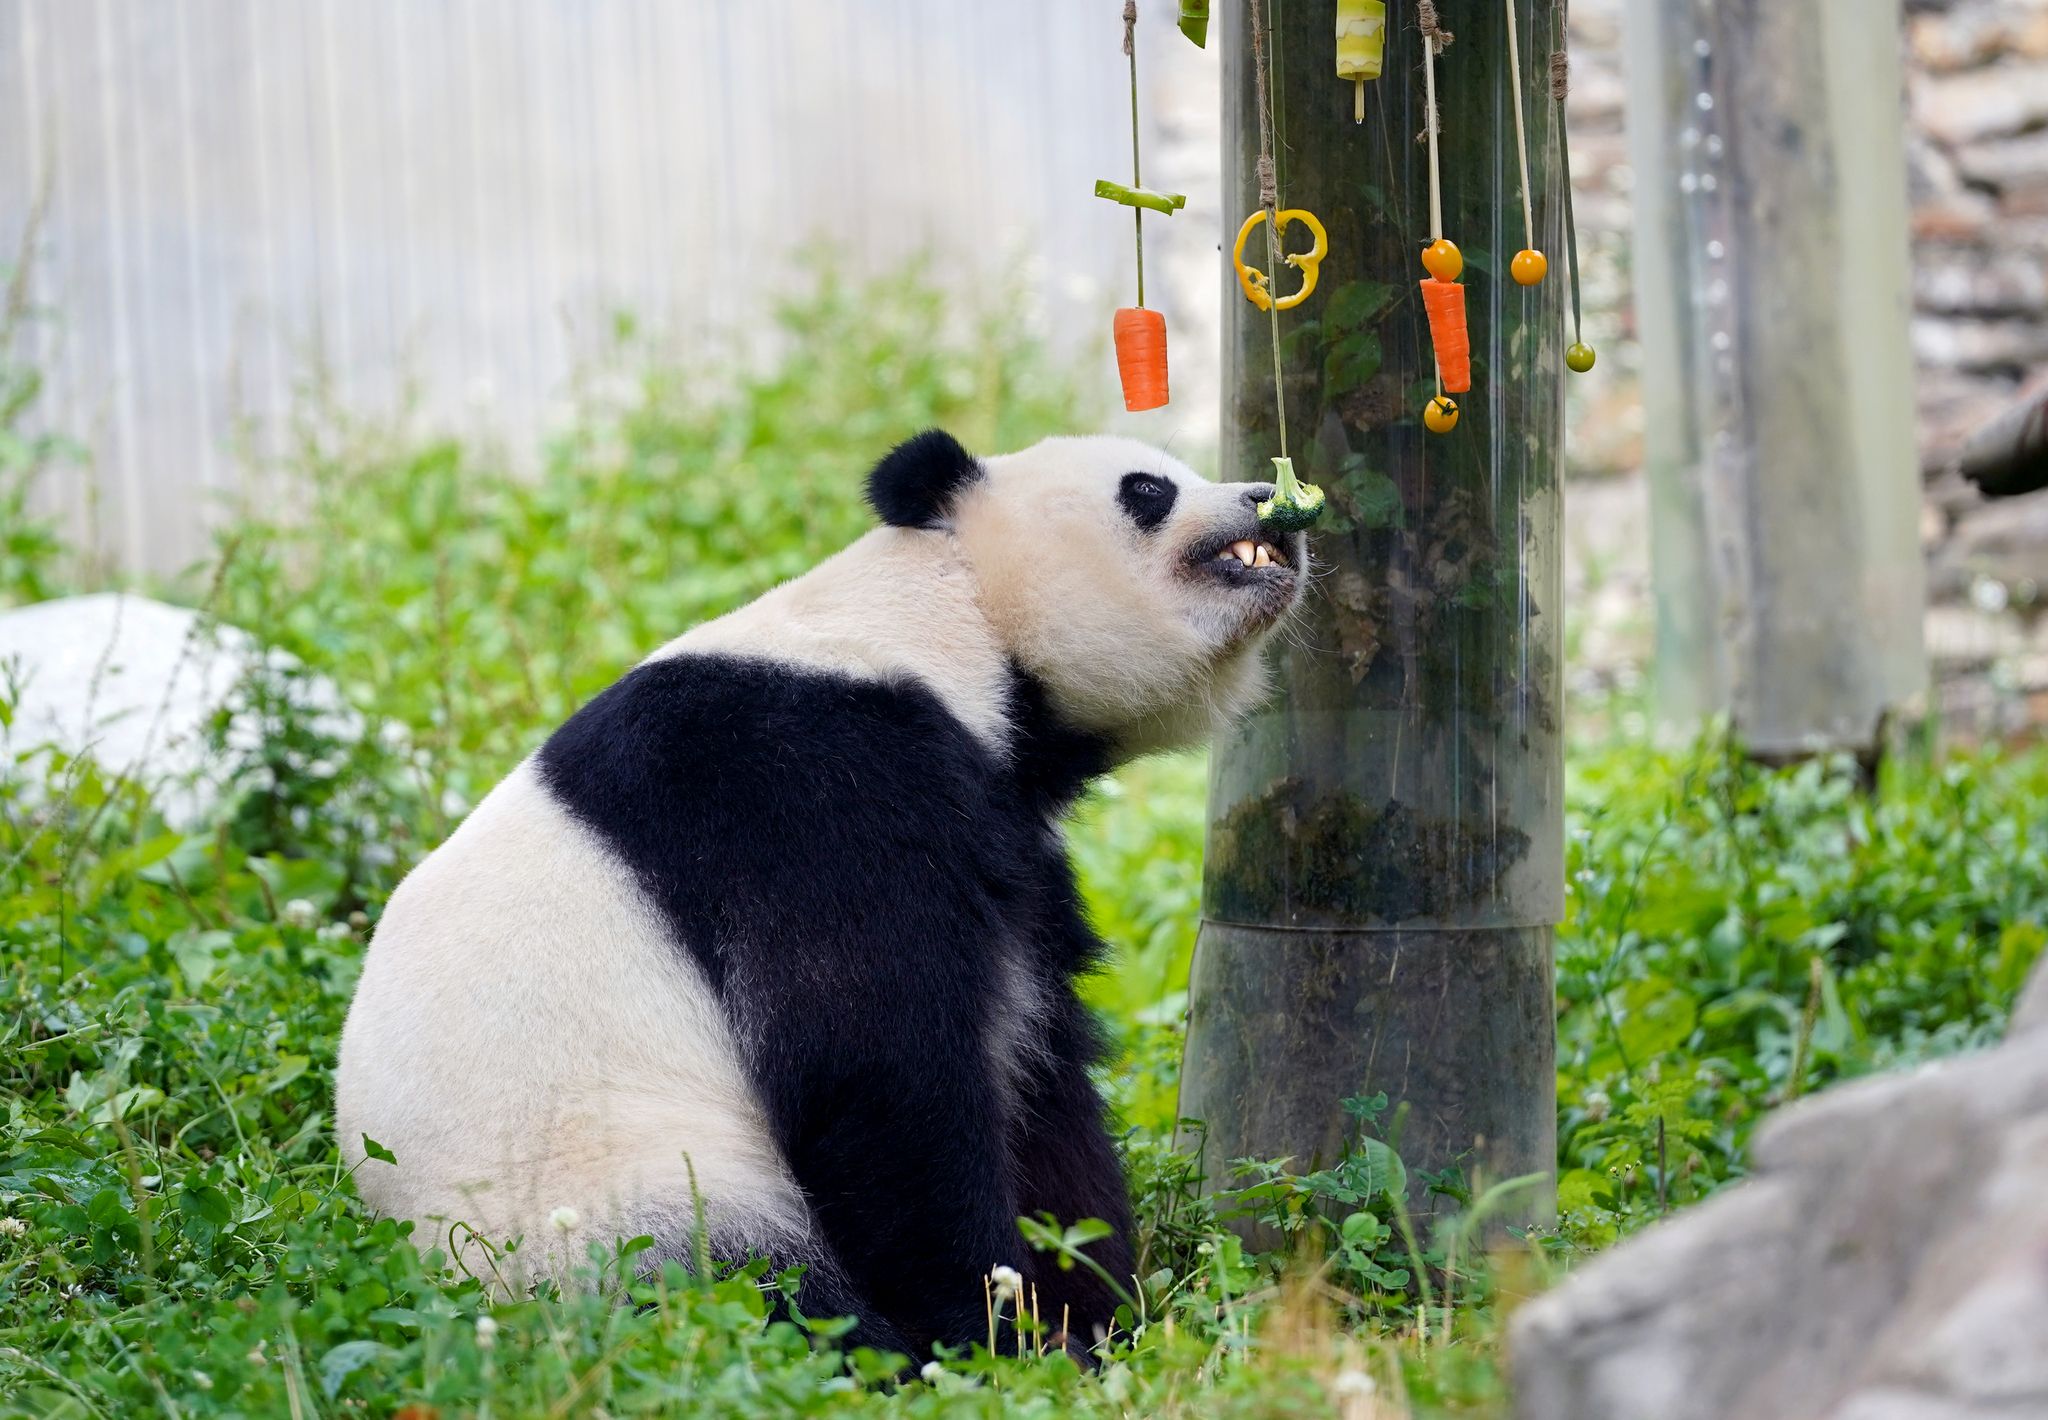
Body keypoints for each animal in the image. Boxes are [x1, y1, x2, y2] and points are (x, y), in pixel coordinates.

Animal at [335, 429, 1306, 1358]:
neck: (941, 620)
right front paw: (1009, 1336)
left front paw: (1103, 1308)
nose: (1268, 496)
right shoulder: (809, 794)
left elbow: (1037, 1070)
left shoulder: (1002, 834)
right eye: (1148, 489)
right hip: (609, 1202)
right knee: (745, 1292)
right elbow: (880, 1069)